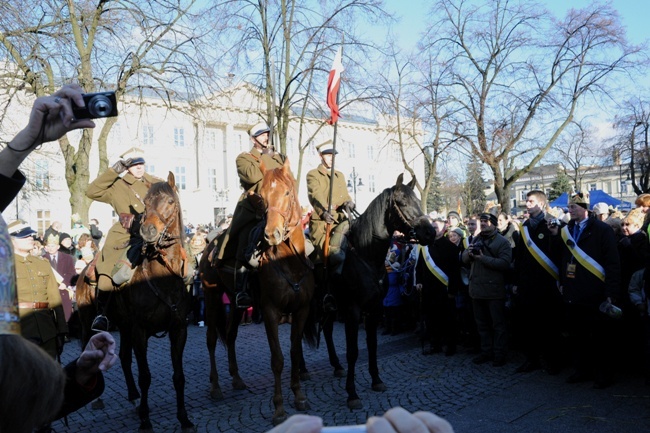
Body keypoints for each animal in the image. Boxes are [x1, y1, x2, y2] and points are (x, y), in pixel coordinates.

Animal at [76, 173, 192, 432]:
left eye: (170, 201)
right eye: (145, 204)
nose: (148, 230)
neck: (163, 277)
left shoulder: (178, 329)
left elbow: (179, 376)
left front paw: (183, 417)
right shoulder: (140, 331)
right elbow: (145, 376)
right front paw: (146, 421)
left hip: (124, 327)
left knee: (125, 359)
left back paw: (134, 397)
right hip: (89, 325)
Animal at [200, 159, 316, 426]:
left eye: (287, 192)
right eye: (261, 197)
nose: (271, 234)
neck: (289, 263)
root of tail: (210, 245)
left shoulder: (302, 310)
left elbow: (295, 352)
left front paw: (299, 396)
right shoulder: (270, 312)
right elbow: (278, 359)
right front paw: (279, 408)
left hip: (234, 302)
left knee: (230, 335)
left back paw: (236, 378)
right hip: (211, 298)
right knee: (211, 340)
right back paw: (215, 387)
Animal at [322, 173, 432, 408]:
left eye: (418, 201)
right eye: (401, 202)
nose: (431, 231)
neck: (366, 256)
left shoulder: (374, 308)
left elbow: (372, 345)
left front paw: (376, 380)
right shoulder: (353, 310)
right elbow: (353, 351)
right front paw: (352, 393)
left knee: (325, 330)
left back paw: (336, 366)